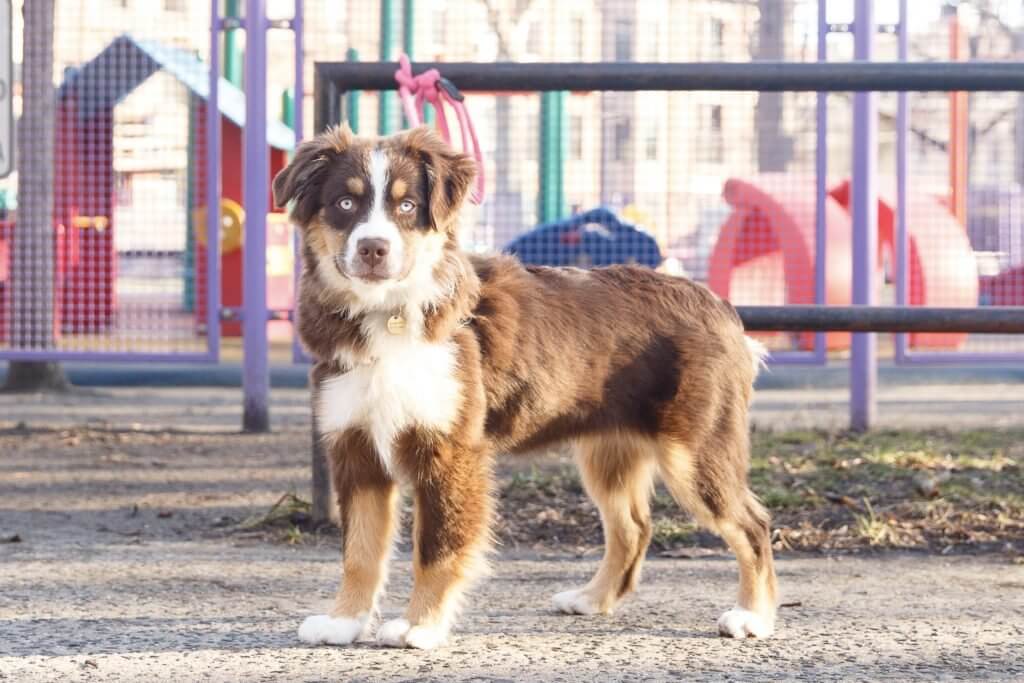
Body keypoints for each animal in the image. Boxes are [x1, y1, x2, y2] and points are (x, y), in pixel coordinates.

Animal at [272, 124, 774, 651]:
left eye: (407, 206)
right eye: (344, 204)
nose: (373, 249)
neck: (387, 314)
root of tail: (718, 306)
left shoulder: (450, 451)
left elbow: (436, 548)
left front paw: (420, 625)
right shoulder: (357, 447)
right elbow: (360, 550)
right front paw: (344, 621)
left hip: (695, 451)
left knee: (752, 525)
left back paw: (752, 616)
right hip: (609, 451)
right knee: (633, 527)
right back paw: (592, 599)